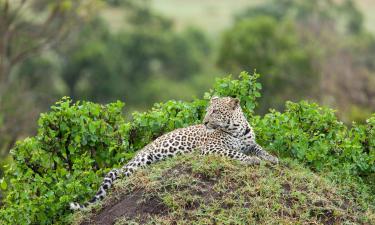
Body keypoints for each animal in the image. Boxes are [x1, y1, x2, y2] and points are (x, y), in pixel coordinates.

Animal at [70, 96, 280, 210]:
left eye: (215, 112)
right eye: (208, 111)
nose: (204, 121)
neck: (236, 129)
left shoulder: (250, 143)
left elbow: (260, 149)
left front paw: (272, 158)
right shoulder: (210, 148)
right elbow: (235, 153)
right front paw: (252, 160)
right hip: (141, 161)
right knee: (122, 176)